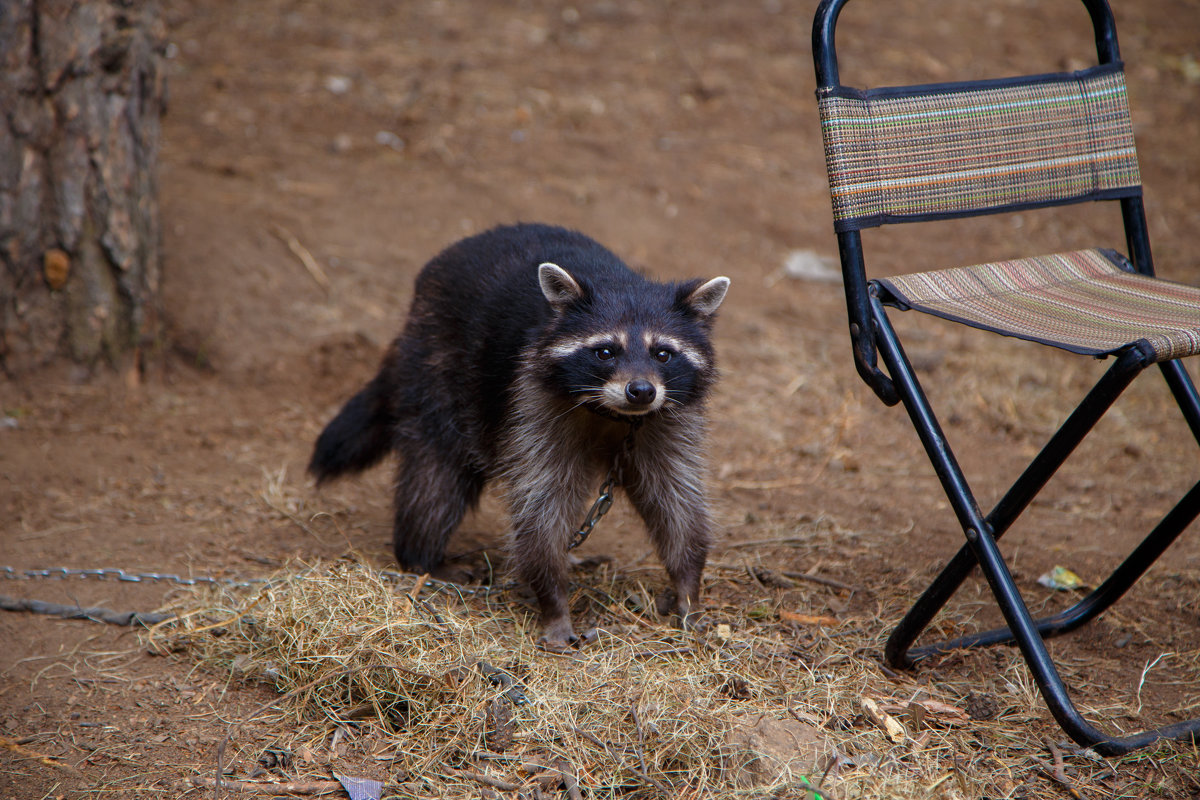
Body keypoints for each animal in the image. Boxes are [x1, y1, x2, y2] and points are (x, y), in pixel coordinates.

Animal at [304, 221, 724, 647]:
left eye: (663, 353)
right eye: (606, 352)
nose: (641, 391)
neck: (613, 413)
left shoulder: (667, 421)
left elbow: (675, 501)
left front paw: (688, 586)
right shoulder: (532, 405)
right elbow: (541, 507)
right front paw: (553, 601)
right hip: (437, 366)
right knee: (437, 475)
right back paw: (422, 556)